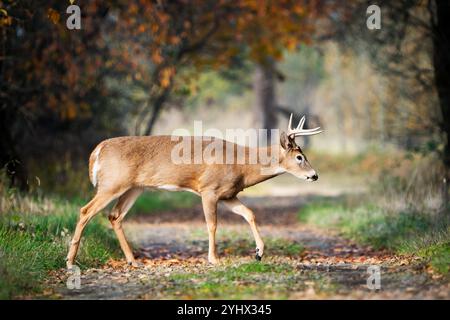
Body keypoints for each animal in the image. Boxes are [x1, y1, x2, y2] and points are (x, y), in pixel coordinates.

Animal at [66, 114, 320, 268]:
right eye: (300, 157)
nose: (314, 175)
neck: (242, 166)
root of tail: (97, 151)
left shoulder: (229, 194)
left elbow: (250, 214)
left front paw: (259, 252)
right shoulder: (209, 189)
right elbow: (212, 224)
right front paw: (214, 259)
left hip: (134, 187)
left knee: (114, 216)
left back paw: (133, 261)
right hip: (112, 183)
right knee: (85, 211)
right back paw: (70, 261)